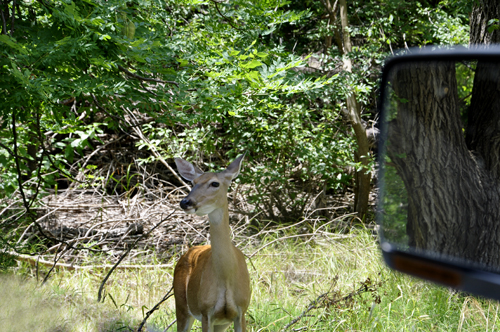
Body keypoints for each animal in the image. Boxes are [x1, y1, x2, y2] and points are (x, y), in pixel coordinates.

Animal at [173, 155, 250, 332]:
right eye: (193, 182)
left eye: (215, 183)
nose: (185, 202)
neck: (226, 276)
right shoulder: (206, 311)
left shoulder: (241, 310)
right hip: (181, 305)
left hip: (221, 323)